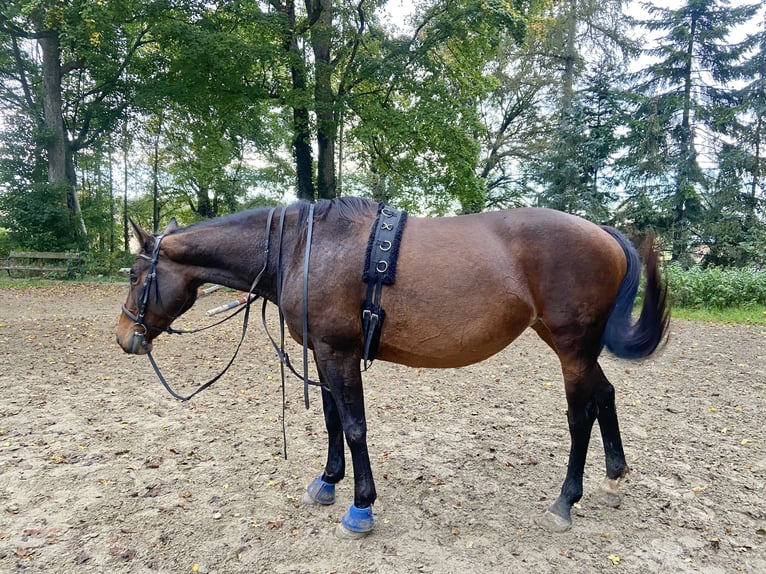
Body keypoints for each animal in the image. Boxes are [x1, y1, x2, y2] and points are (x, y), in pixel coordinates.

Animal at [115, 198, 672, 540]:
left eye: (139, 275)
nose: (125, 337)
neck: (302, 248)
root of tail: (603, 233)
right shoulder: (323, 352)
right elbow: (333, 421)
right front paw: (327, 480)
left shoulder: (338, 352)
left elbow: (355, 426)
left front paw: (360, 506)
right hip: (571, 347)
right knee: (606, 395)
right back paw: (614, 476)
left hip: (572, 349)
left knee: (581, 417)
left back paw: (565, 501)